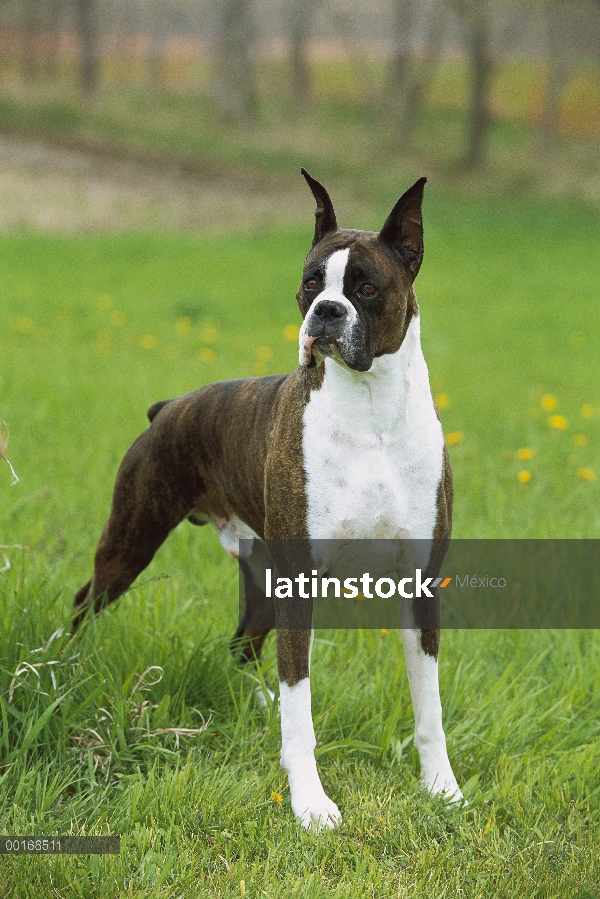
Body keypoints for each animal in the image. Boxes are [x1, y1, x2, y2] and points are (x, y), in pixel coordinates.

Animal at [72, 172, 462, 832]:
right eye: (310, 282)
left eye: (367, 287)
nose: (325, 312)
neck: (371, 414)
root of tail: (168, 408)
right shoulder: (300, 583)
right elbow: (300, 710)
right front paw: (311, 805)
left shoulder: (419, 588)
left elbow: (428, 709)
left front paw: (443, 790)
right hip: (130, 541)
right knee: (86, 601)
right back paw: (60, 668)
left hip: (259, 582)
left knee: (243, 648)